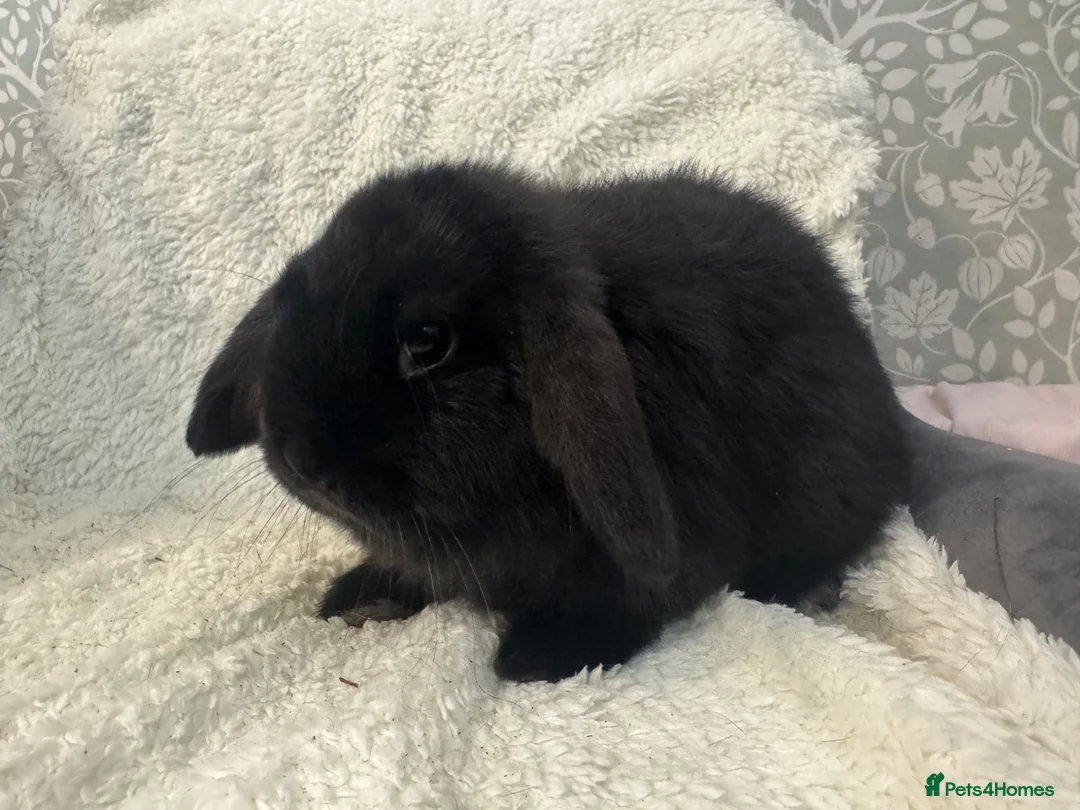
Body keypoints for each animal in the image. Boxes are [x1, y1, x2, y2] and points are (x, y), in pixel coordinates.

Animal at [185, 160, 912, 683]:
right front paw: (359, 598)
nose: (302, 461)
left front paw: (540, 654)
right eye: (291, 290)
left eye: (429, 341)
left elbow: (635, 597)